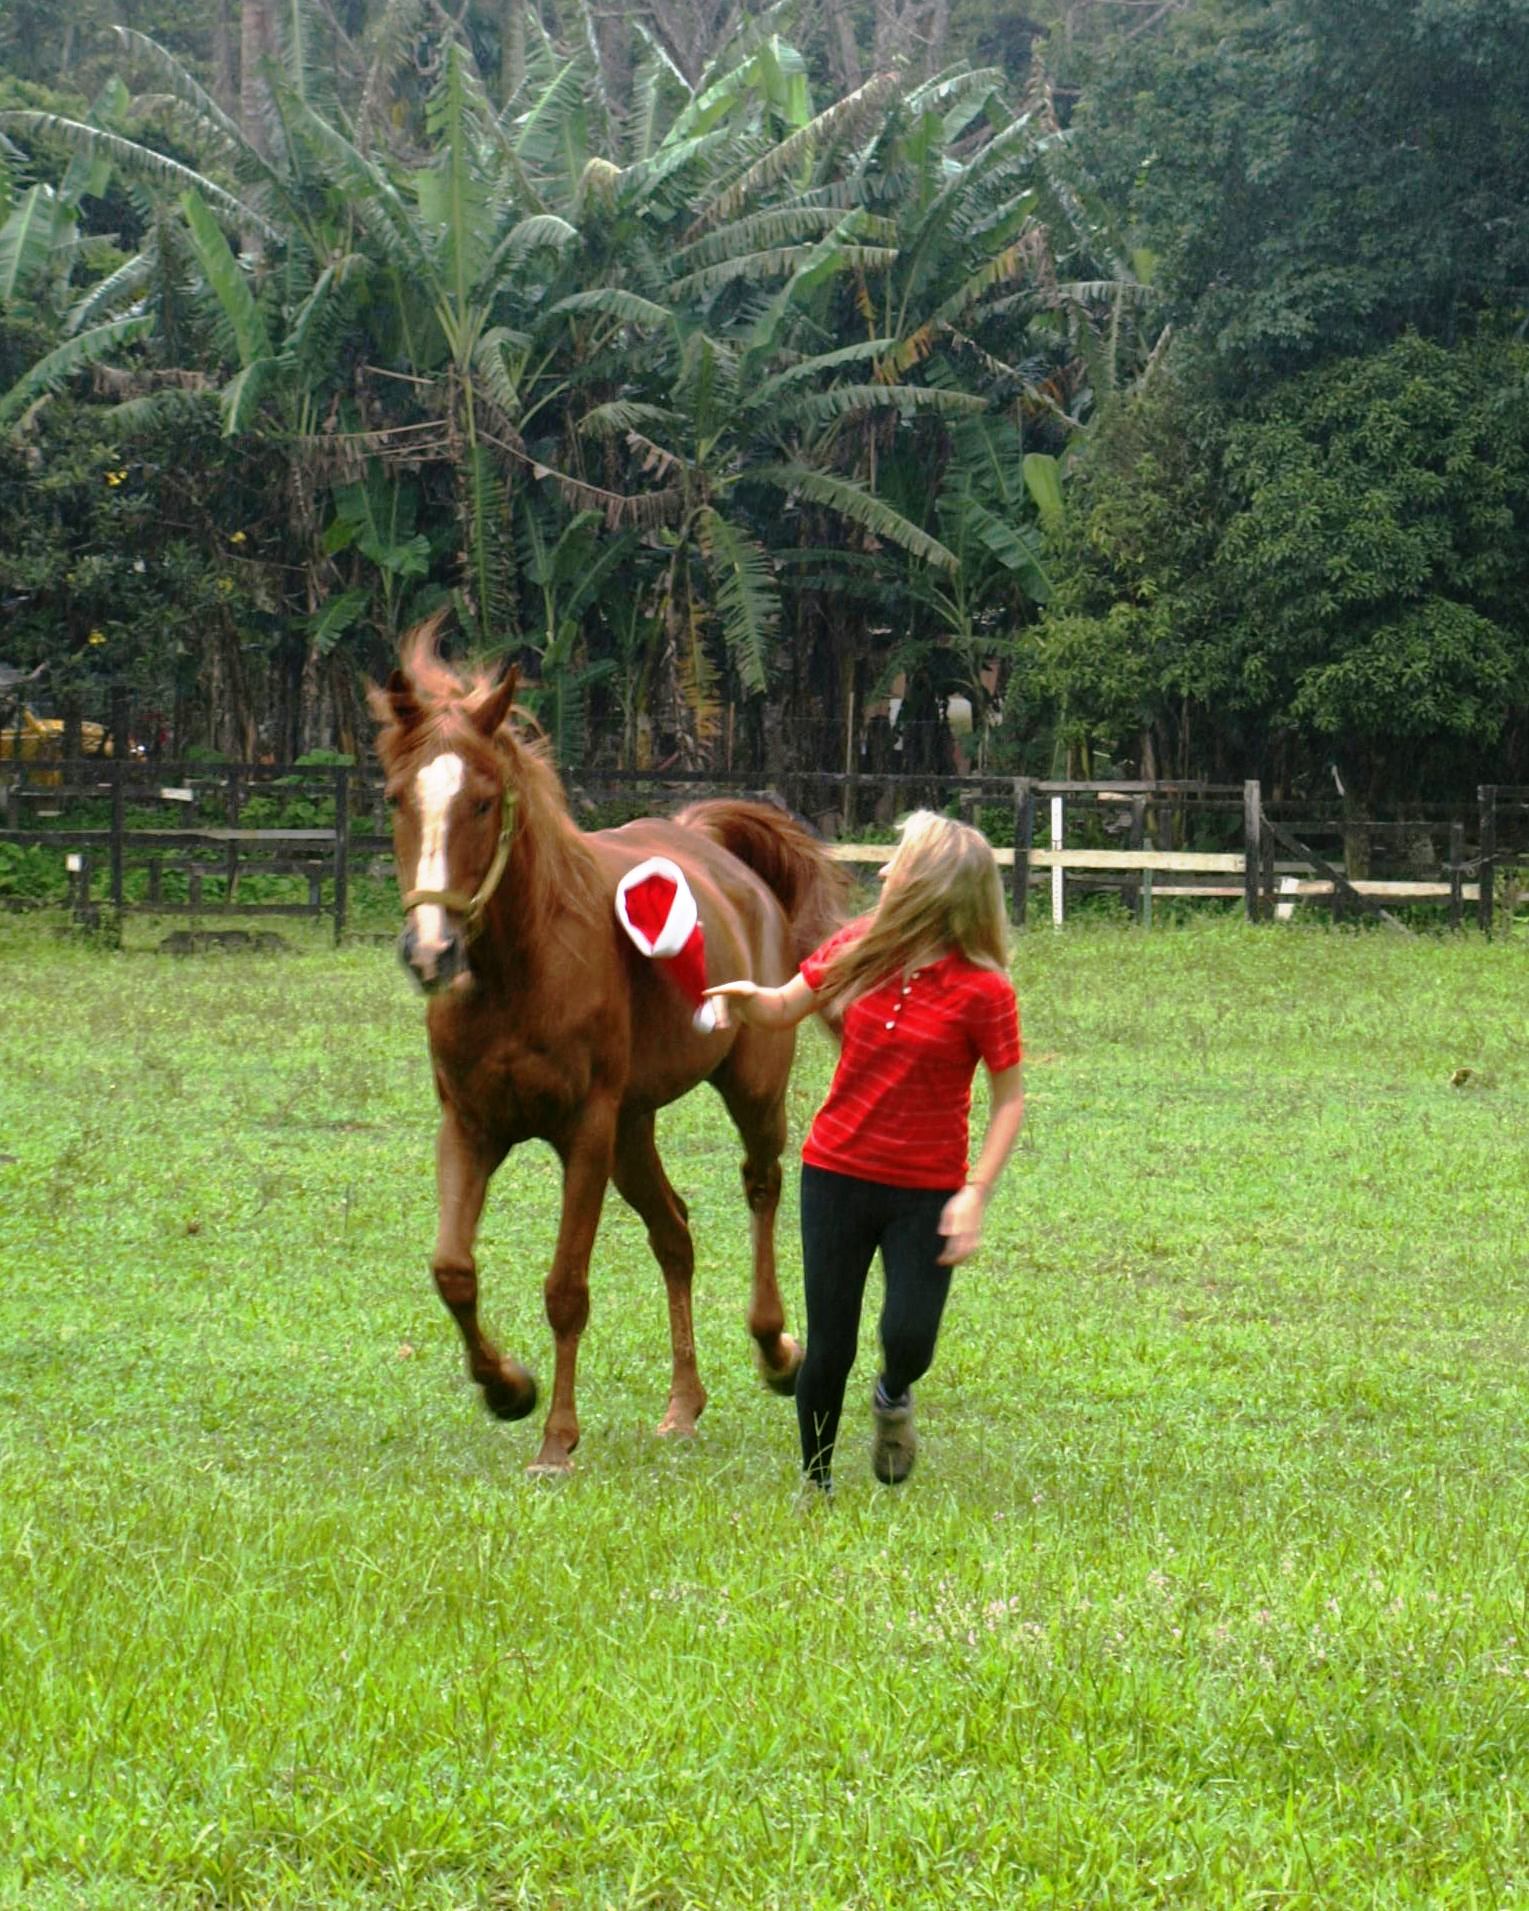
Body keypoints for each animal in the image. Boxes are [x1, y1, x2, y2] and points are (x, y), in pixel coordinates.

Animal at [372, 634, 848, 1467]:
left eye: (483, 801)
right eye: (398, 797)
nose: (431, 952)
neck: (520, 971)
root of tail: (713, 846)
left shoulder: (584, 1131)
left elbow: (566, 1288)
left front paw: (556, 1441)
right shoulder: (470, 1125)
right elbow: (452, 1270)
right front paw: (508, 1387)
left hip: (749, 1088)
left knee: (760, 1185)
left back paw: (776, 1350)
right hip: (635, 1127)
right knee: (675, 1233)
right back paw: (682, 1405)